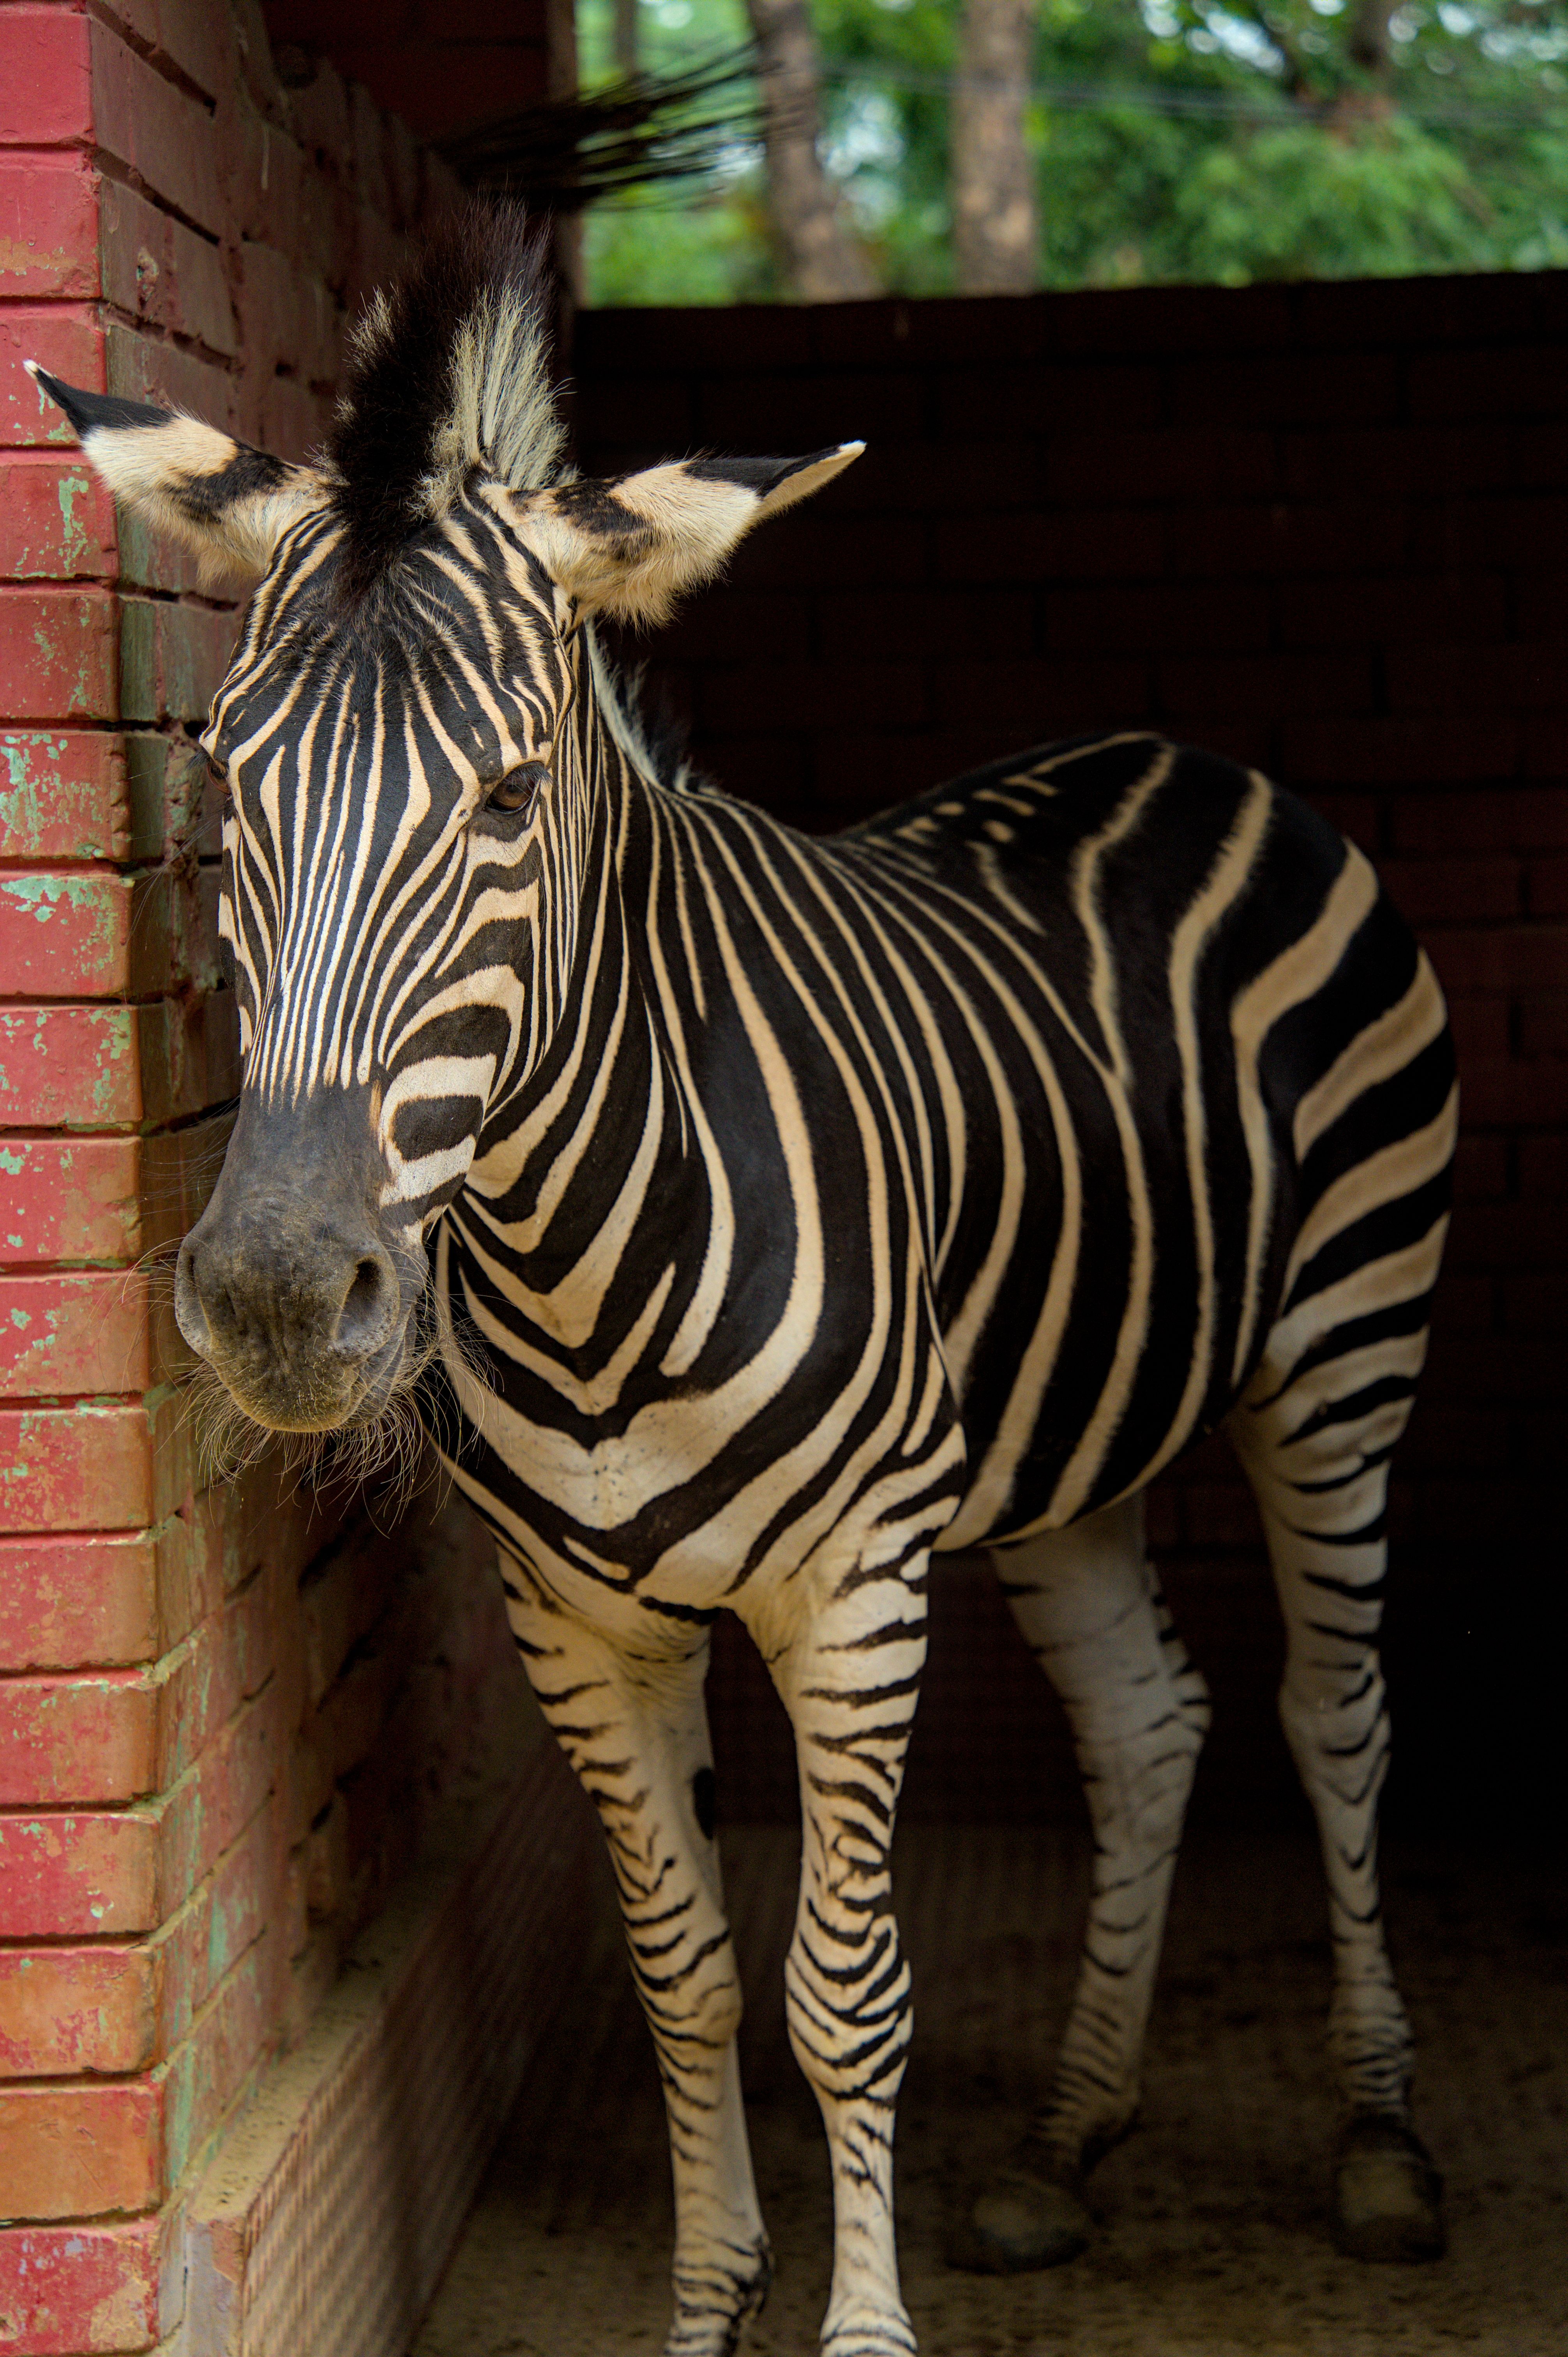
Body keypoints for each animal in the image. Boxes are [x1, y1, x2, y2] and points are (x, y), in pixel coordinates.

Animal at [35, 208, 1454, 2356]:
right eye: (224, 782)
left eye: (512, 795)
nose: (282, 1295)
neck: (581, 1268)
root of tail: (1180, 751)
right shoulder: (576, 1623)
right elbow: (685, 1969)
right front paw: (709, 2306)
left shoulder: (855, 1591)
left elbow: (841, 1996)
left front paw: (858, 2331)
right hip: (1059, 1432)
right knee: (1152, 1724)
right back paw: (1065, 2146)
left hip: (1339, 1352)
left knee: (1333, 1713)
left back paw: (1375, 2141)